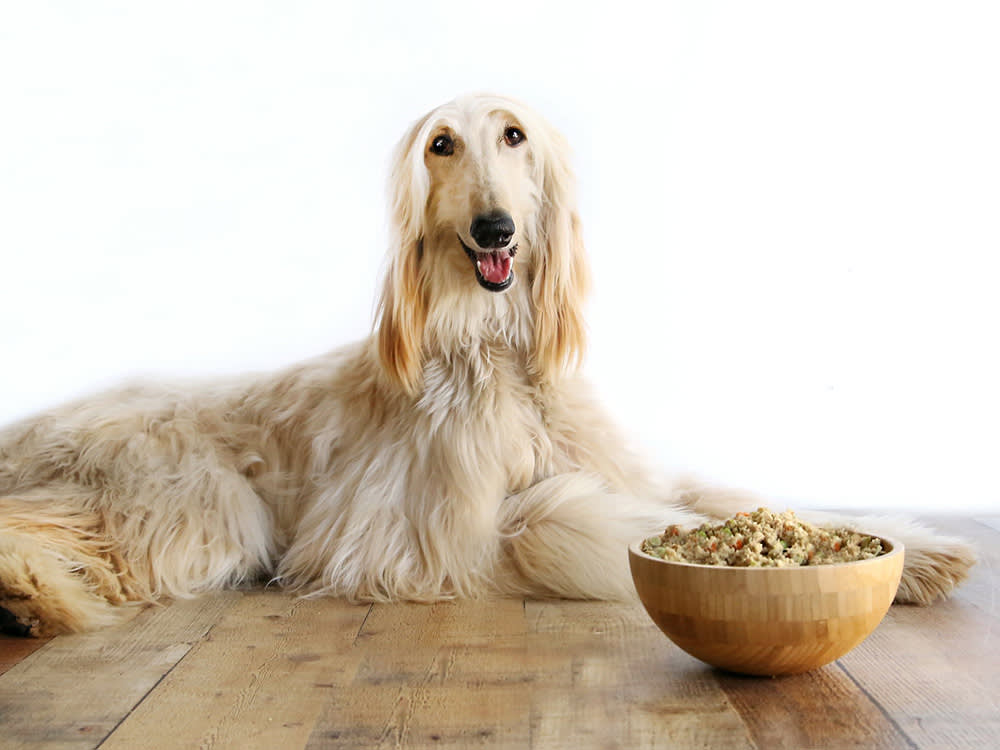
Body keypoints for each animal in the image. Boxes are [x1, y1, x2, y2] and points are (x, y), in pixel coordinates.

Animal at [0, 91, 972, 636]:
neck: (496, 352)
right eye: (441, 144)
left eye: (513, 136)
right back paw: (29, 595)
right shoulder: (394, 538)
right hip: (195, 503)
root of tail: (27, 430)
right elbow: (555, 519)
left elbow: (727, 499)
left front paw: (915, 552)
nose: (495, 229)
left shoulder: (616, 460)